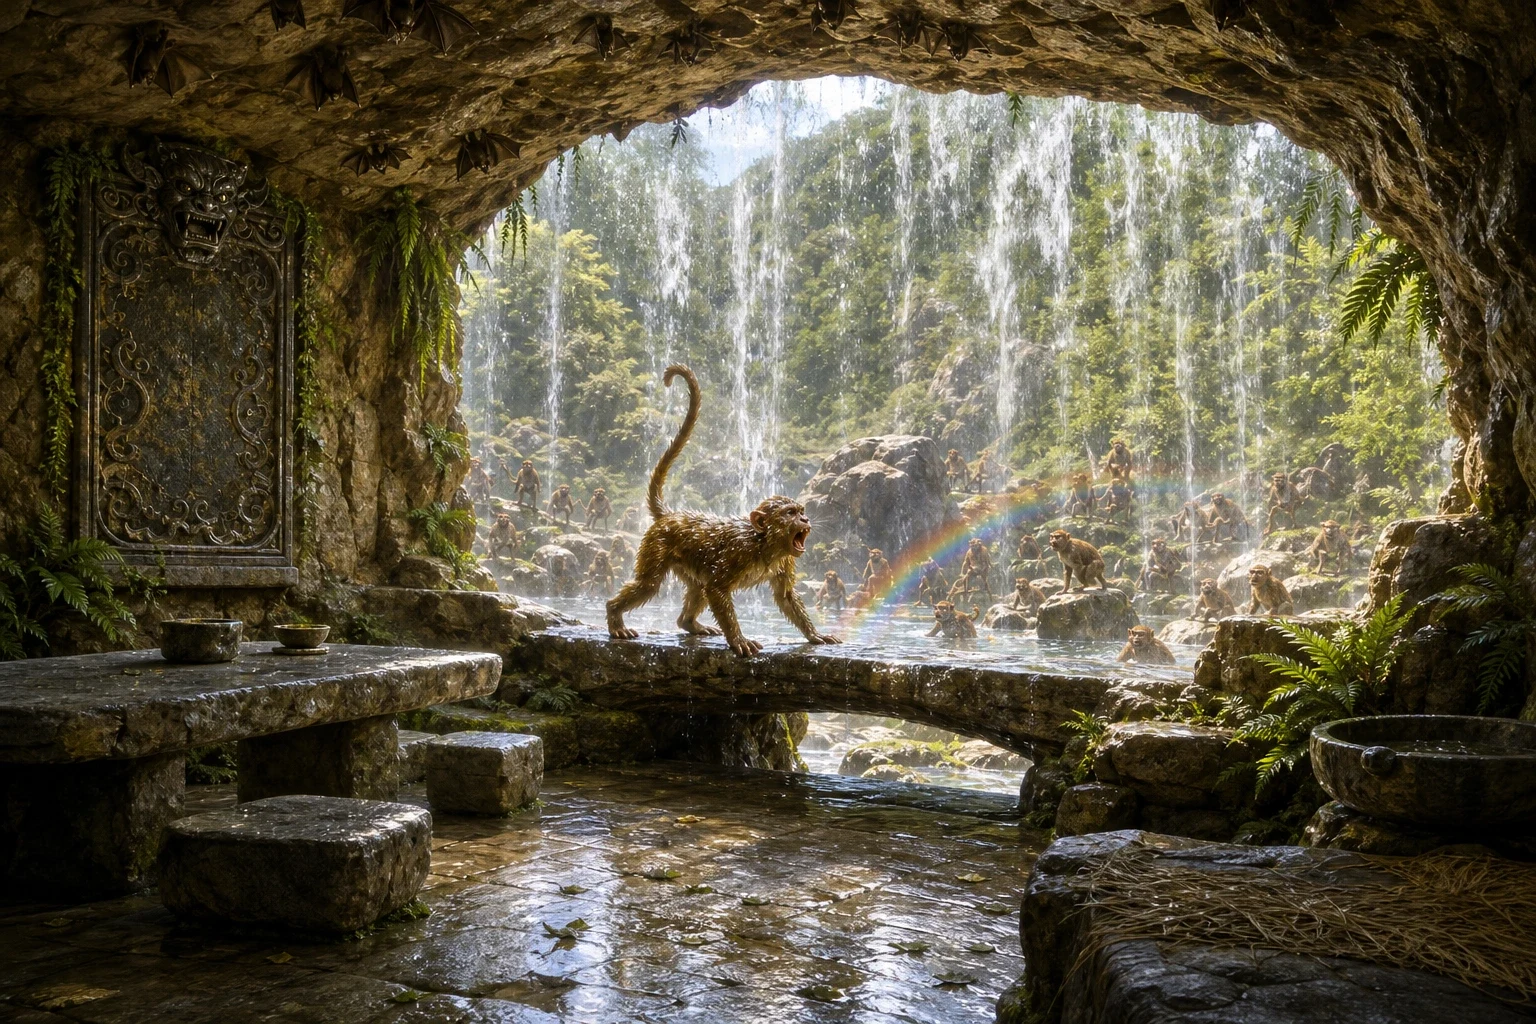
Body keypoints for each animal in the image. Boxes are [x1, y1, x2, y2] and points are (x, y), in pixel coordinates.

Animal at [605, 365, 840, 657]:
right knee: (650, 584)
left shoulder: (785, 559)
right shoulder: (739, 552)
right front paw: (739, 640)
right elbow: (717, 589)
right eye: (789, 513)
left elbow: (785, 597)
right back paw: (614, 615)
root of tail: (671, 515)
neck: (763, 543)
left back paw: (688, 623)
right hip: (656, 543)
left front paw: (814, 634)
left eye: (801, 510)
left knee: (697, 586)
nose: (805, 518)